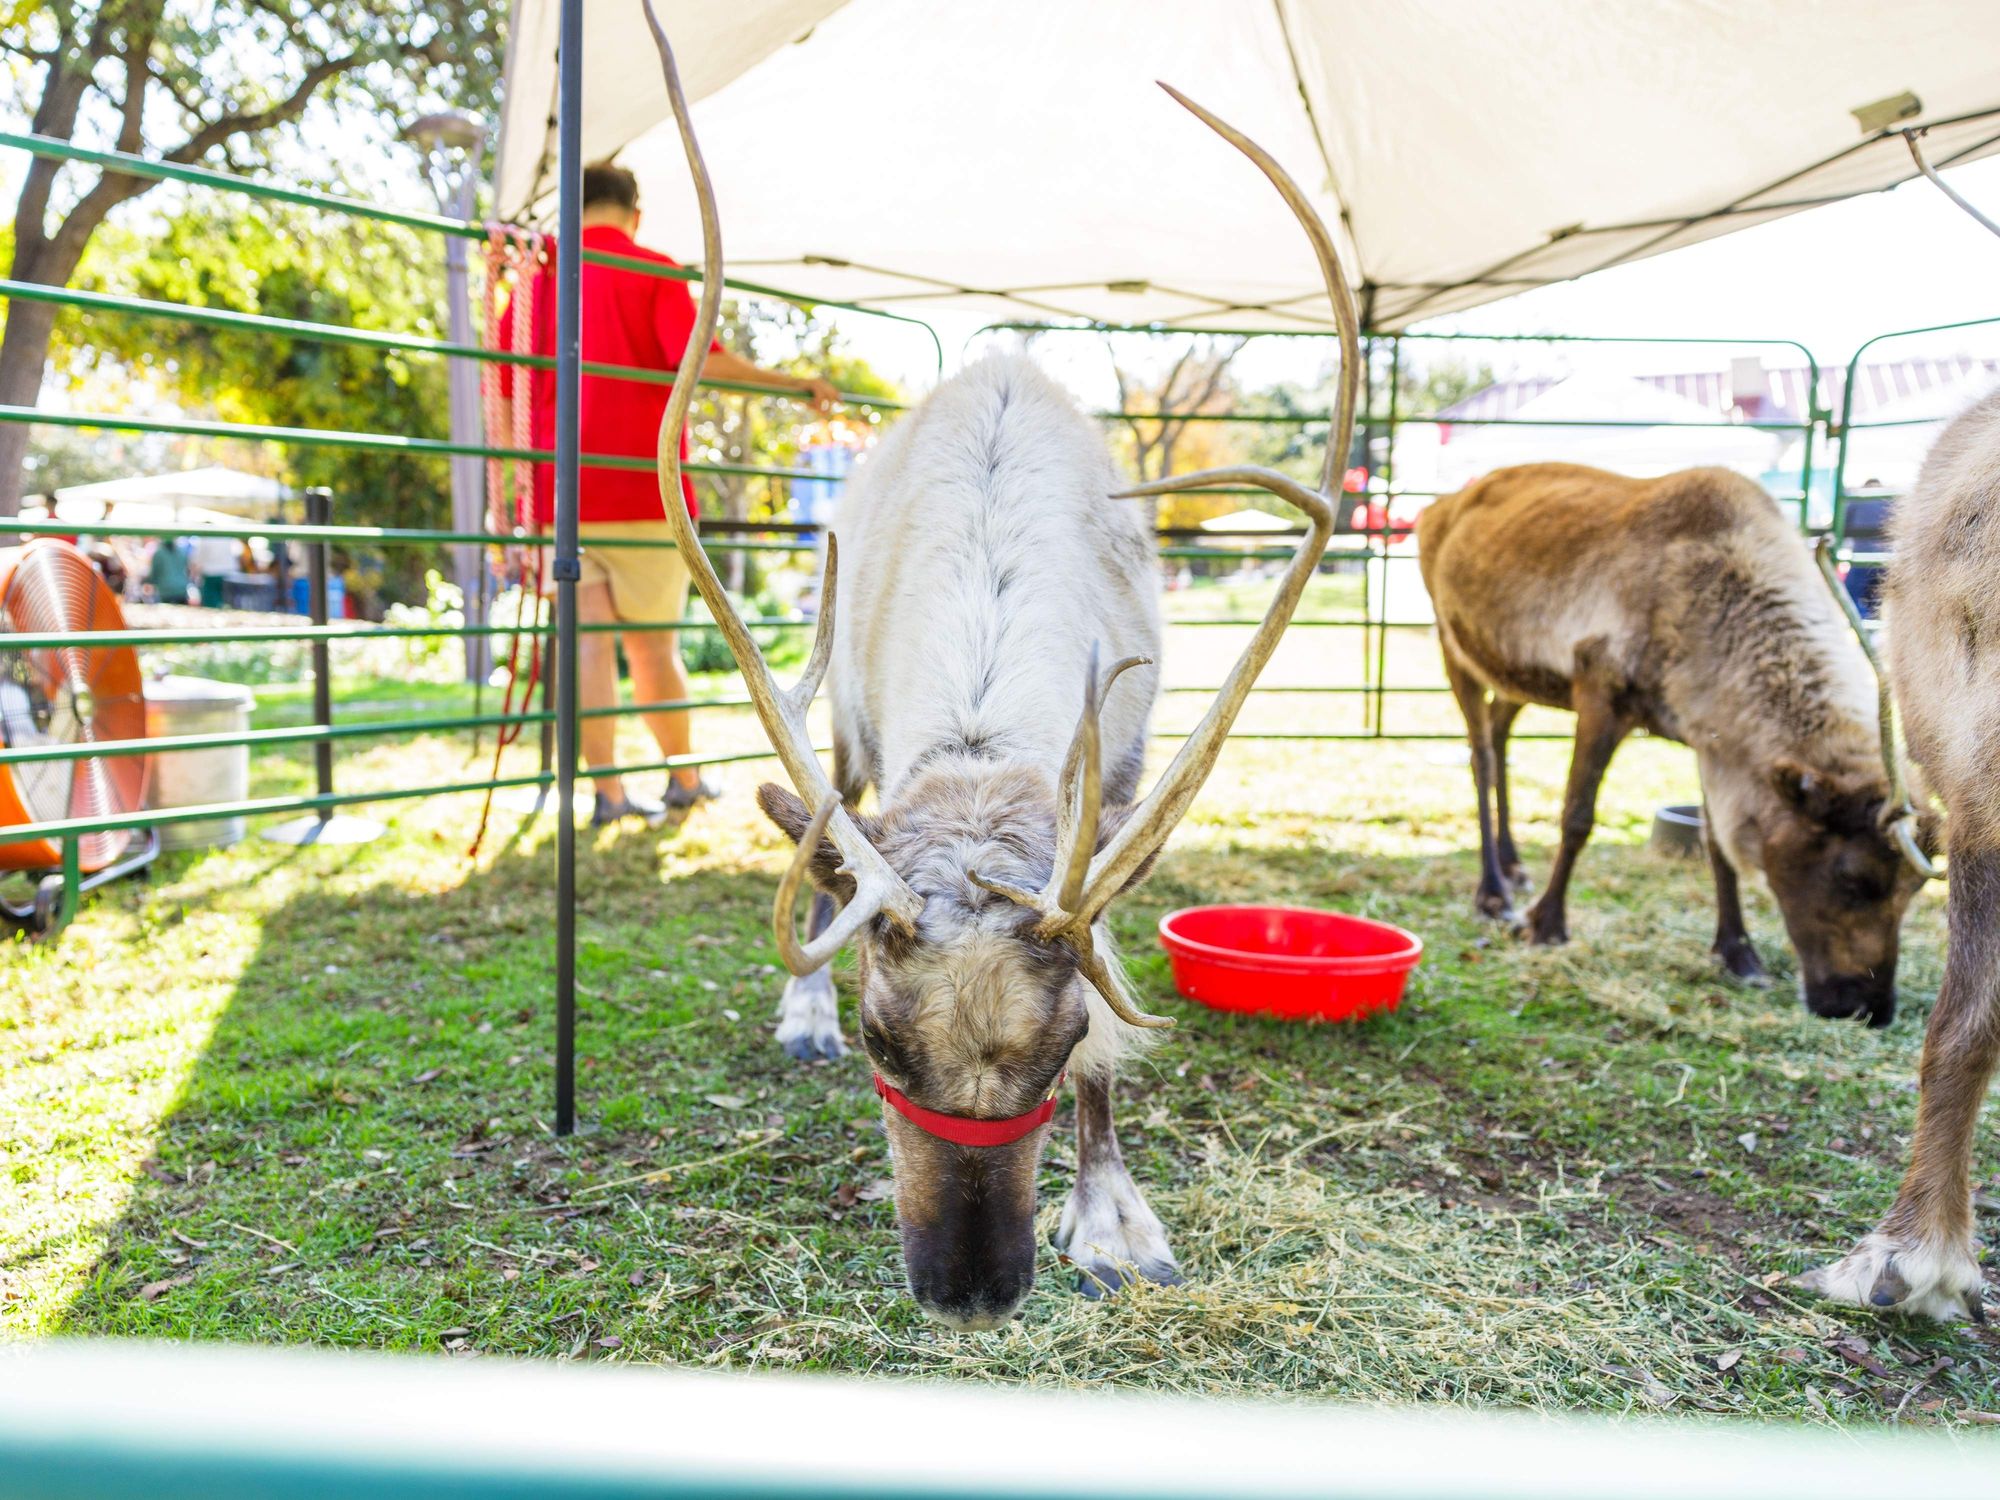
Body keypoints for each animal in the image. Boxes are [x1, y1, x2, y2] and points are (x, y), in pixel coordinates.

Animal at [639, 8, 1349, 1329]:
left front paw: (1111, 1218)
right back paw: (795, 1012)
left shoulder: (1113, 787)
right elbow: (831, 863)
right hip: (845, 728)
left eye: (1060, 1047)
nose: (969, 1296)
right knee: (822, 835)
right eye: (881, 1046)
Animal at [1418, 463, 1935, 1026]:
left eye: (1916, 887)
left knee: (1499, 734)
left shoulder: (1708, 735)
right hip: (1452, 643)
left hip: (1513, 675)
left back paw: (1513, 865)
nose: (1870, 1008)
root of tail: (1437, 507)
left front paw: (1738, 953)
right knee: (1482, 756)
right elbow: (1577, 817)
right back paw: (1492, 893)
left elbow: (1718, 844)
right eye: (1853, 878)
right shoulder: (1599, 690)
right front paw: (1547, 926)